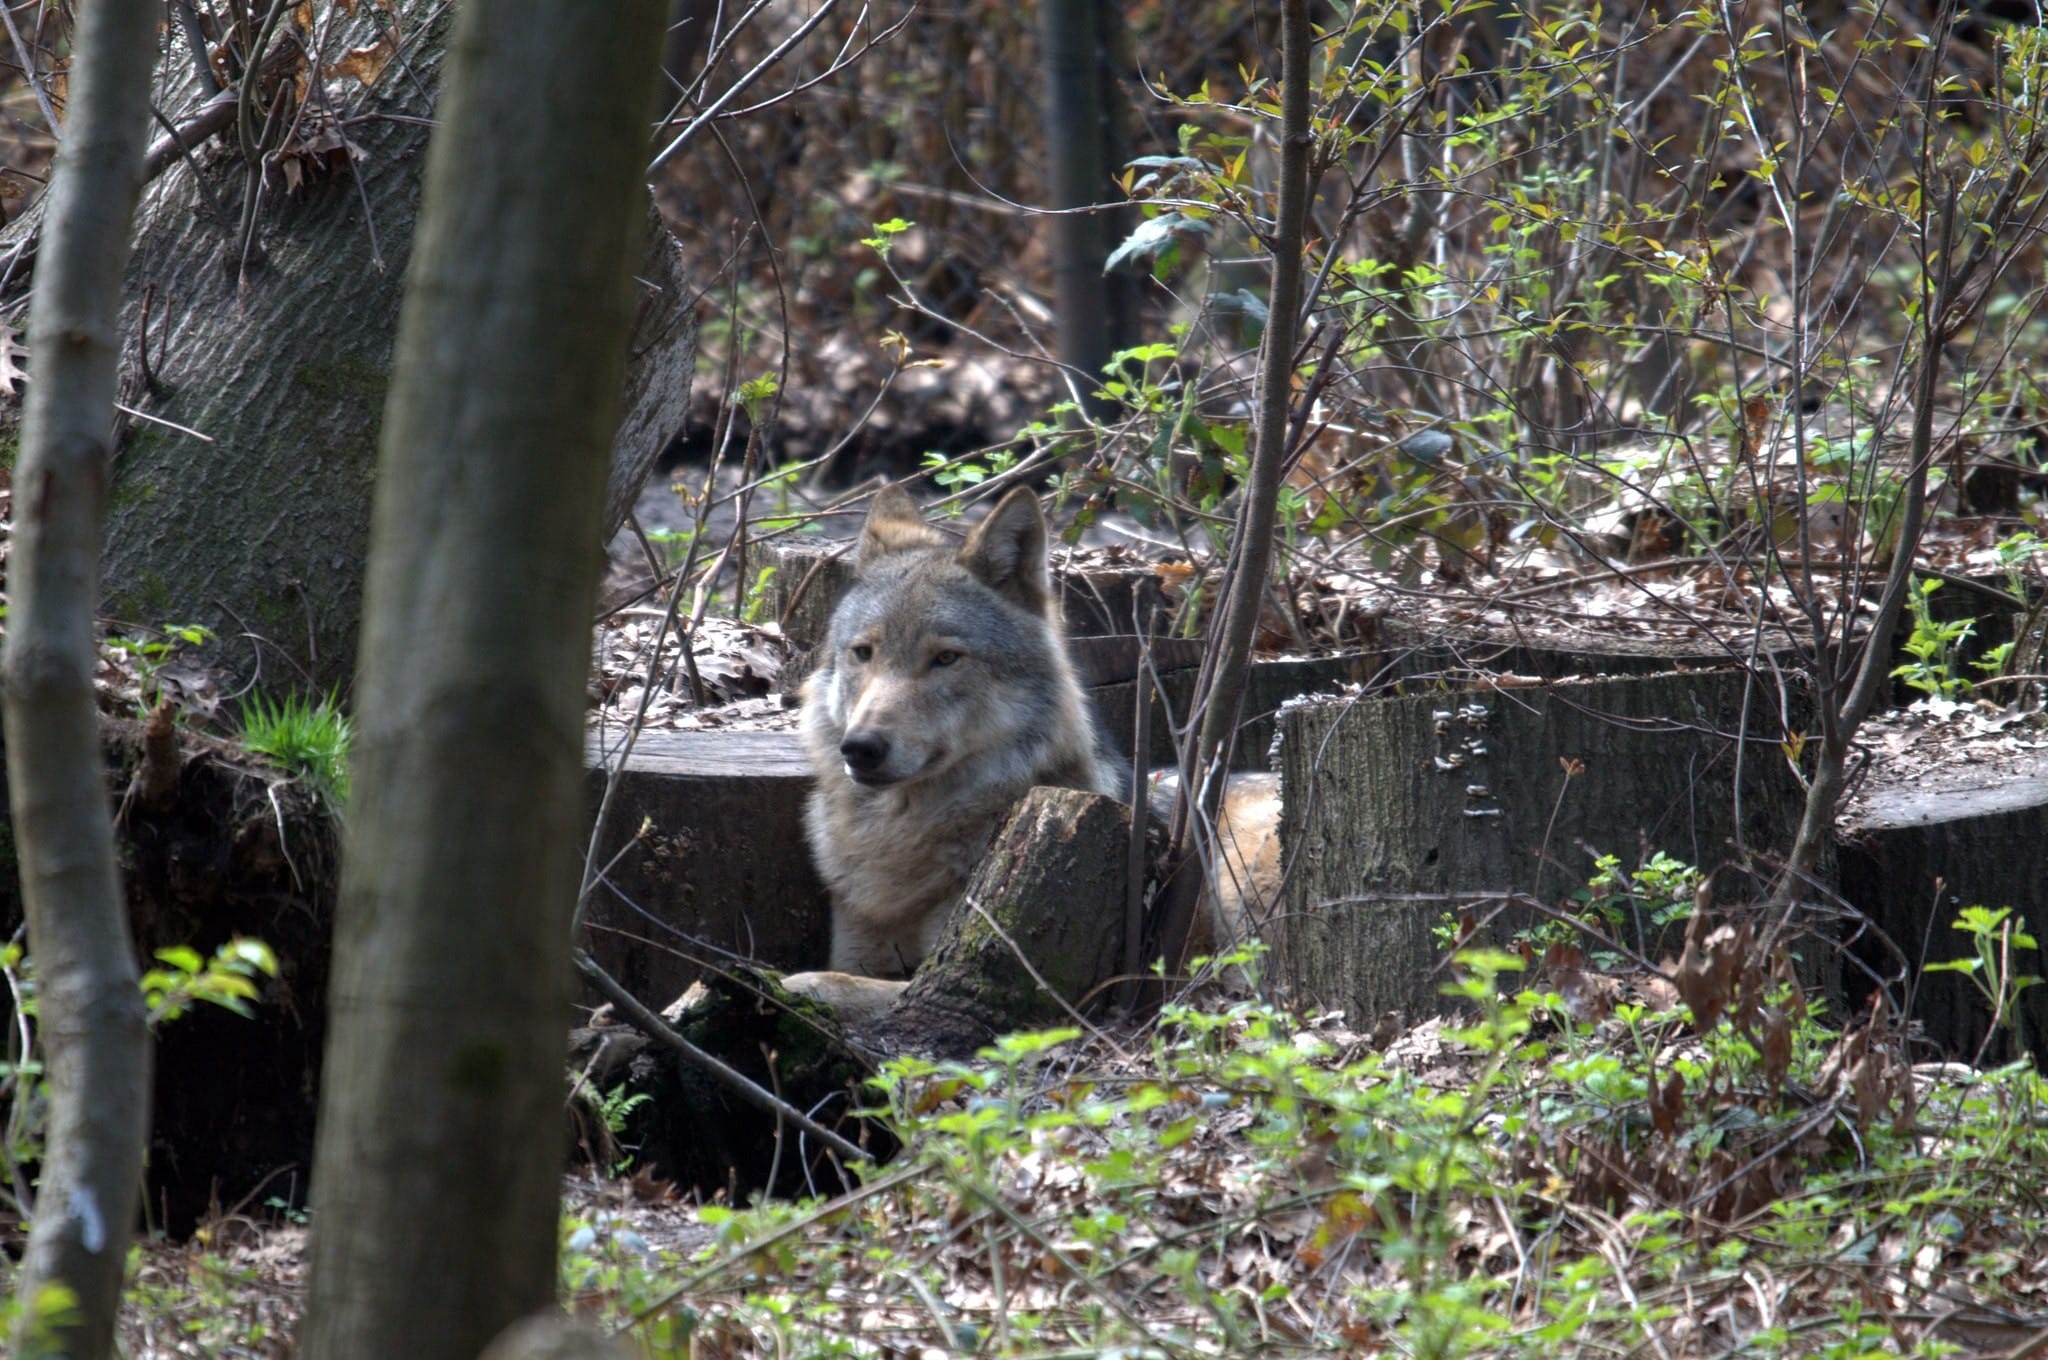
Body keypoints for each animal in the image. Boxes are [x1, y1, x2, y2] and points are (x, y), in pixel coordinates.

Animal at [774, 483, 1269, 1015]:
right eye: (864, 653)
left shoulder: (947, 968)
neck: (900, 836)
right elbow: (845, 972)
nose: (860, 748)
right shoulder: (861, 947)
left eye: (946, 658)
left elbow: (829, 982)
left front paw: (782, 984)